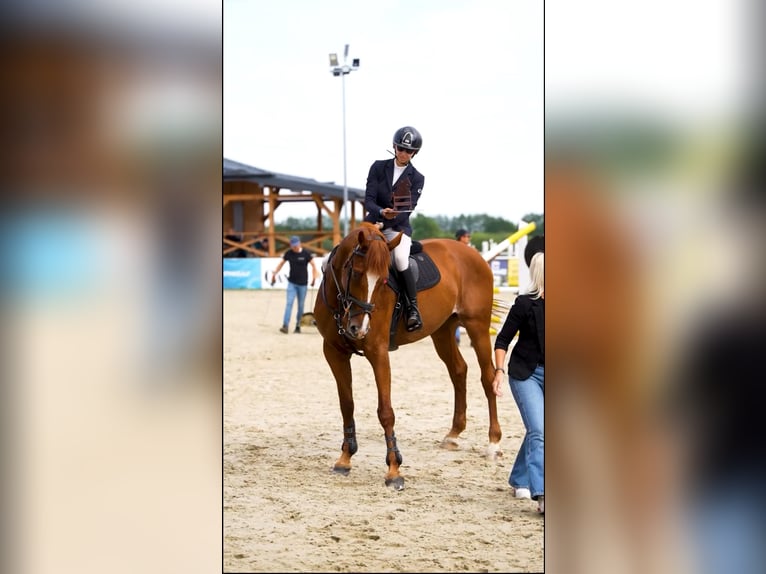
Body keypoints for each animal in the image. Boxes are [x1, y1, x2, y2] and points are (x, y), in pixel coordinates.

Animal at [314, 221, 502, 490]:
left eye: (384, 280)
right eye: (357, 272)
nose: (358, 328)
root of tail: (472, 253)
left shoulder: (378, 352)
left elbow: (385, 411)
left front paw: (394, 470)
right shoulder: (333, 352)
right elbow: (346, 404)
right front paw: (345, 458)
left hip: (477, 326)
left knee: (487, 378)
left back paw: (493, 443)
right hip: (443, 331)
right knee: (458, 370)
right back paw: (453, 434)